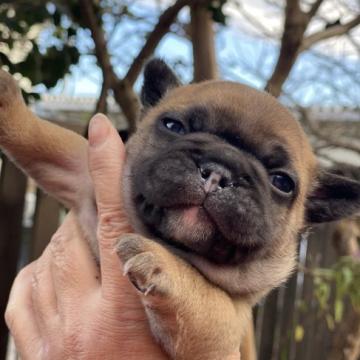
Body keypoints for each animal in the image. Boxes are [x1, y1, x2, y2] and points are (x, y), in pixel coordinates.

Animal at [0, 60, 360, 358]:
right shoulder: (79, 171)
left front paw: (160, 261)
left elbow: (200, 297)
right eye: (173, 126)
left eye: (282, 182)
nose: (218, 172)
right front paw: (6, 97)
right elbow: (44, 140)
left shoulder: (225, 324)